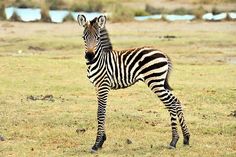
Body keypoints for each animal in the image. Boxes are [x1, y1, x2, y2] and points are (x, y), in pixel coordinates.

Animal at [77, 14, 190, 152]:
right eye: (84, 37)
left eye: (97, 38)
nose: (89, 56)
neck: (100, 60)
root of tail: (163, 54)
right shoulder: (97, 87)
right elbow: (101, 111)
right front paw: (102, 140)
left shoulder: (104, 86)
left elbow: (101, 113)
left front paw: (97, 144)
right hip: (160, 82)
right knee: (176, 101)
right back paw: (186, 138)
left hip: (155, 82)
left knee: (171, 104)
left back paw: (173, 141)